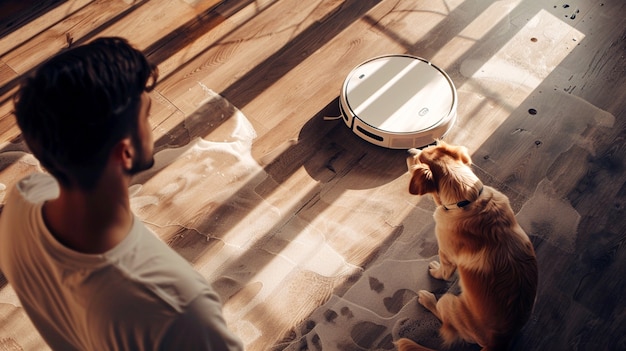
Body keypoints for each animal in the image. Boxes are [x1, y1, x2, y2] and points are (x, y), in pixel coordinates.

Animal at [394, 141, 536, 351]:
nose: (408, 150)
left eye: (418, 159)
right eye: (427, 147)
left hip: (449, 302)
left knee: (443, 316)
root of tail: (500, 340)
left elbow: (444, 272)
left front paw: (435, 271)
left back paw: (427, 299)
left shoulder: (445, 253)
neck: (467, 199)